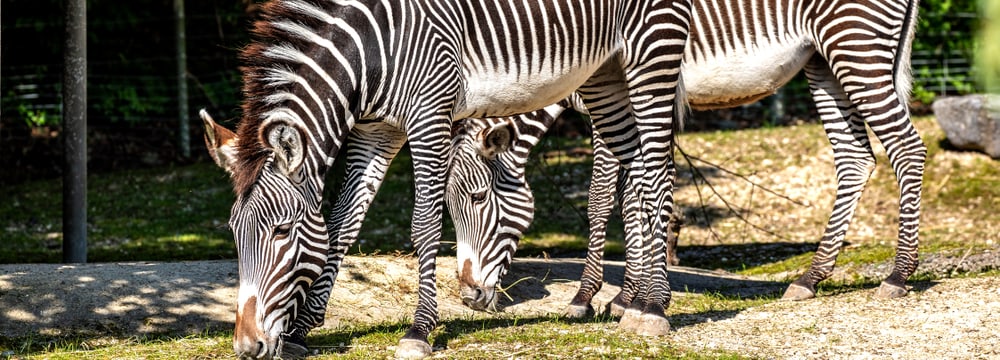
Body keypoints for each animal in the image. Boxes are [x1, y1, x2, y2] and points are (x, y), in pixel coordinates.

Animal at [201, 1, 688, 358]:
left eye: (282, 232)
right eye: (234, 232)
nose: (246, 347)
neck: (372, 54)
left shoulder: (430, 117)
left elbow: (423, 227)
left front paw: (419, 330)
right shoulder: (376, 131)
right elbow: (342, 225)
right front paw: (302, 330)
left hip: (653, 53)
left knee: (658, 173)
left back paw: (654, 306)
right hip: (604, 73)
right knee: (640, 172)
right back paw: (635, 301)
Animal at [442, 0, 924, 318]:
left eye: (479, 199)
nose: (471, 300)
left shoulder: (613, 101)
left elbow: (606, 199)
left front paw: (592, 297)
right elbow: (634, 195)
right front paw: (627, 296)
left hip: (856, 46)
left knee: (907, 147)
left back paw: (898, 276)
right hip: (823, 60)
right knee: (854, 158)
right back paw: (811, 278)